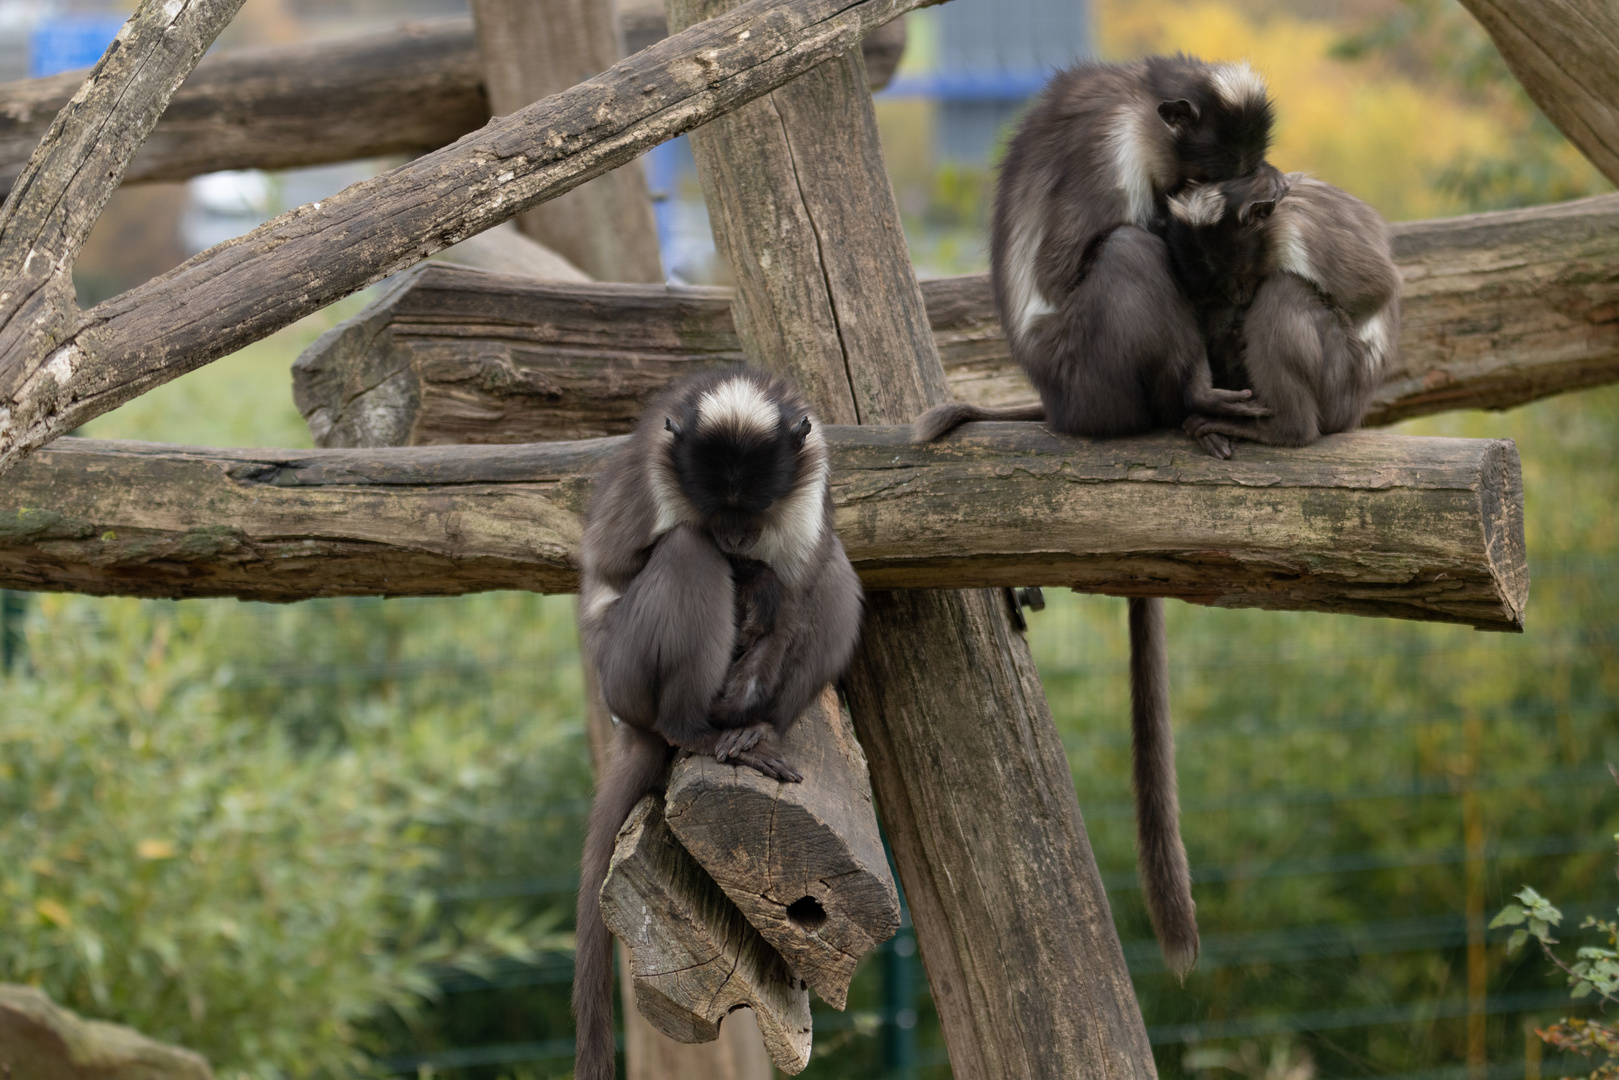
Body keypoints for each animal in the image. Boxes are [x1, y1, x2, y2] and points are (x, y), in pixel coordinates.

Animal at [576, 365, 867, 1080]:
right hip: (623, 673)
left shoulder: (809, 475)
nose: (735, 537)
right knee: (685, 552)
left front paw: (767, 589)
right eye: (721, 510)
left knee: (832, 569)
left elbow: (806, 575)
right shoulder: (656, 471)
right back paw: (694, 731)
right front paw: (749, 573)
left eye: (750, 511)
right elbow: (618, 563)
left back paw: (756, 726)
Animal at [1165, 172, 1405, 446]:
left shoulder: (1298, 231)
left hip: (1343, 387)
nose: (1237, 295)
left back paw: (1288, 429)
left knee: (1283, 287)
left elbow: (1380, 287)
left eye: (1237, 276)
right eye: (1221, 285)